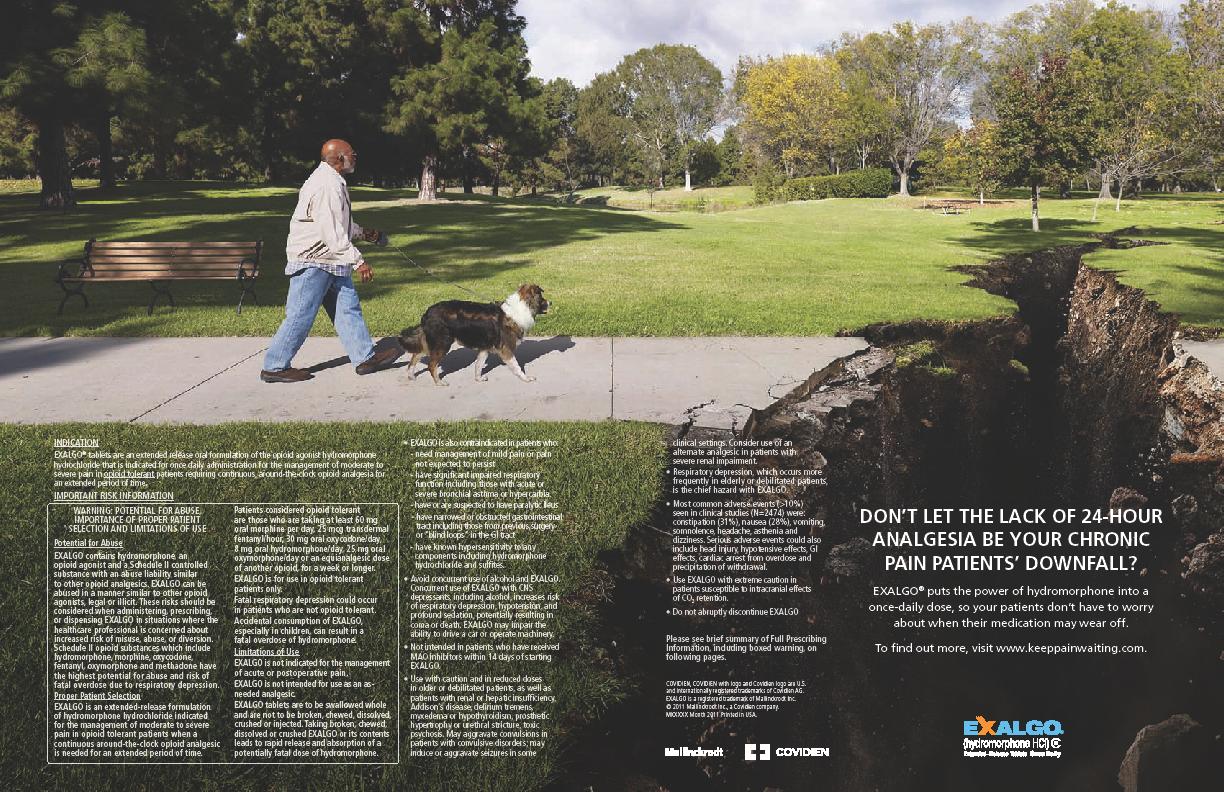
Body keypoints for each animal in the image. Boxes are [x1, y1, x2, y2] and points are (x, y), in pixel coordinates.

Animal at [399, 285, 553, 386]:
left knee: (415, 355)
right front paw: (526, 379)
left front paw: (478, 379)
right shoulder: (506, 350)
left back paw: (411, 376)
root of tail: (427, 312)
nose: (551, 302)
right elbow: (517, 367)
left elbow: (478, 365)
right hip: (442, 343)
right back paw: (439, 382)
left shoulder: (484, 348)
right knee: (431, 365)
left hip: (432, 342)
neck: (520, 309)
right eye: (541, 298)